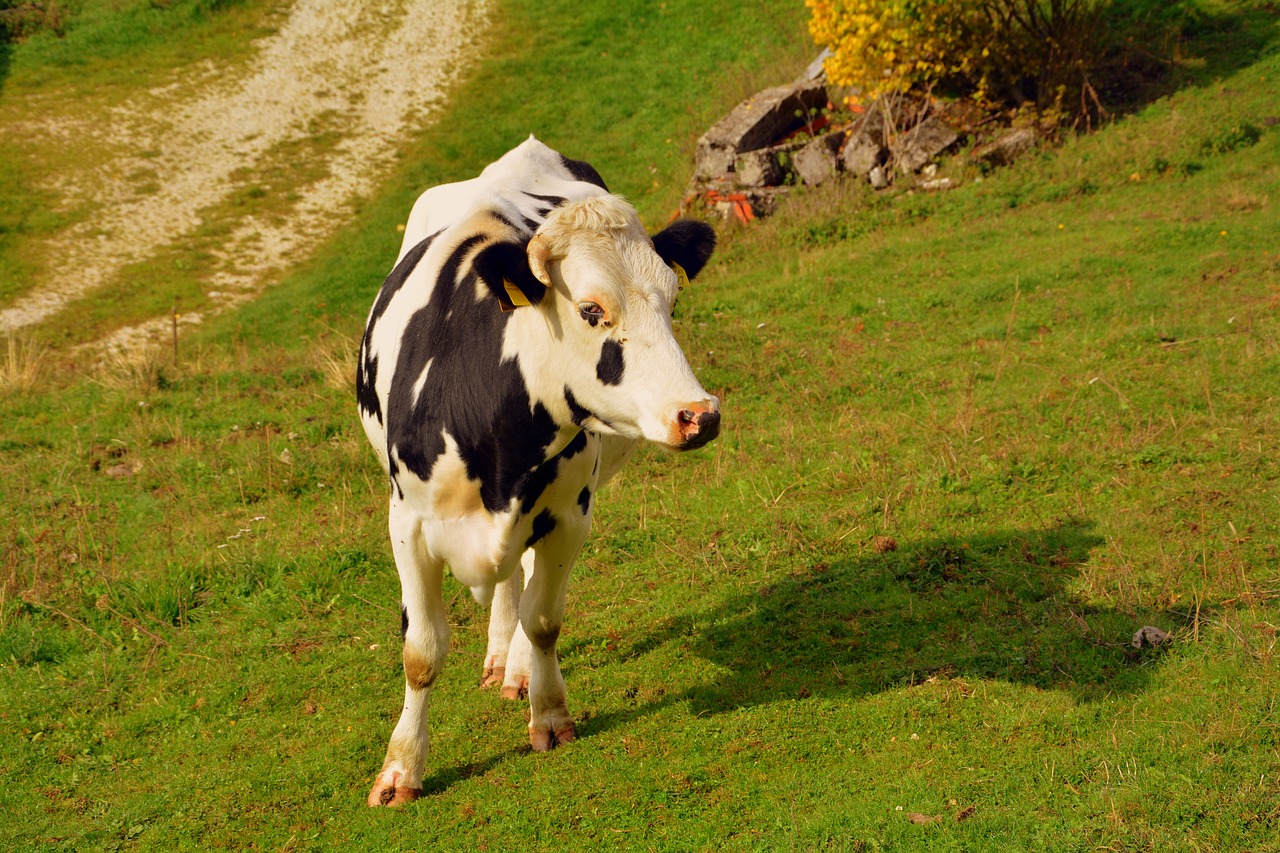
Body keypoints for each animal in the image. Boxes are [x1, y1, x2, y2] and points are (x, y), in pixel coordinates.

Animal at [358, 134, 721, 804]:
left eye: (672, 300)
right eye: (591, 310)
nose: (699, 415)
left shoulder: (568, 516)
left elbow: (545, 618)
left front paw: (549, 714)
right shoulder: (407, 525)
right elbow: (421, 652)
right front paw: (400, 771)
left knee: (520, 583)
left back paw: (517, 666)